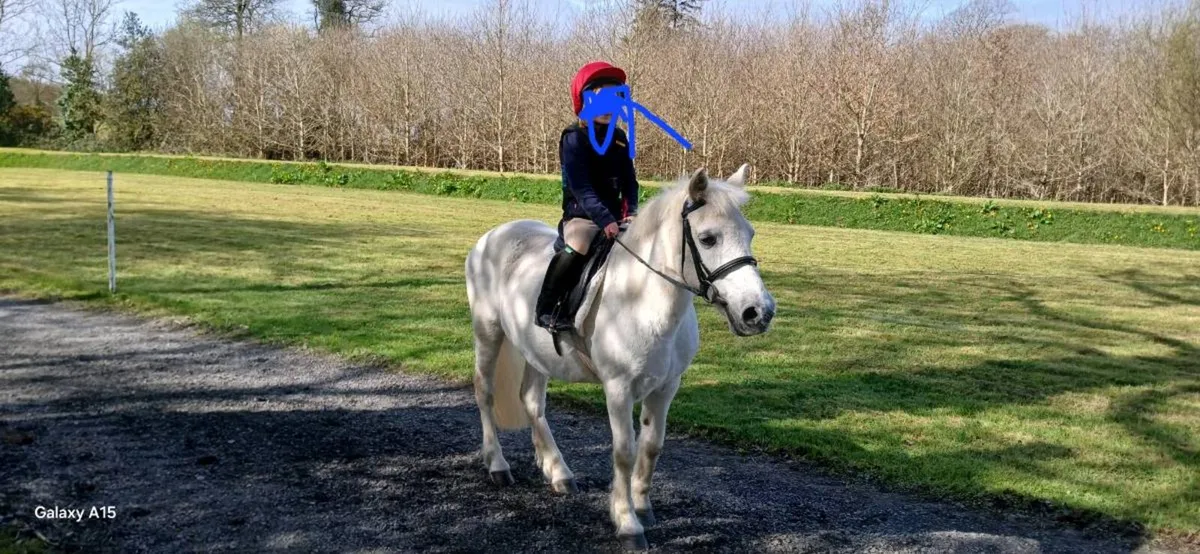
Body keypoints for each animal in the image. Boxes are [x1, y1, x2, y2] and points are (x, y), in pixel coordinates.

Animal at [464, 165, 776, 550]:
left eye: (750, 233)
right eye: (708, 239)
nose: (758, 313)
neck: (645, 300)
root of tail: (492, 236)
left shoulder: (666, 387)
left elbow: (652, 446)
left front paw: (642, 507)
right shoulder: (618, 388)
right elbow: (625, 452)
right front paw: (627, 522)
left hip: (535, 352)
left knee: (532, 402)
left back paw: (558, 472)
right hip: (488, 333)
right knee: (485, 392)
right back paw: (498, 465)